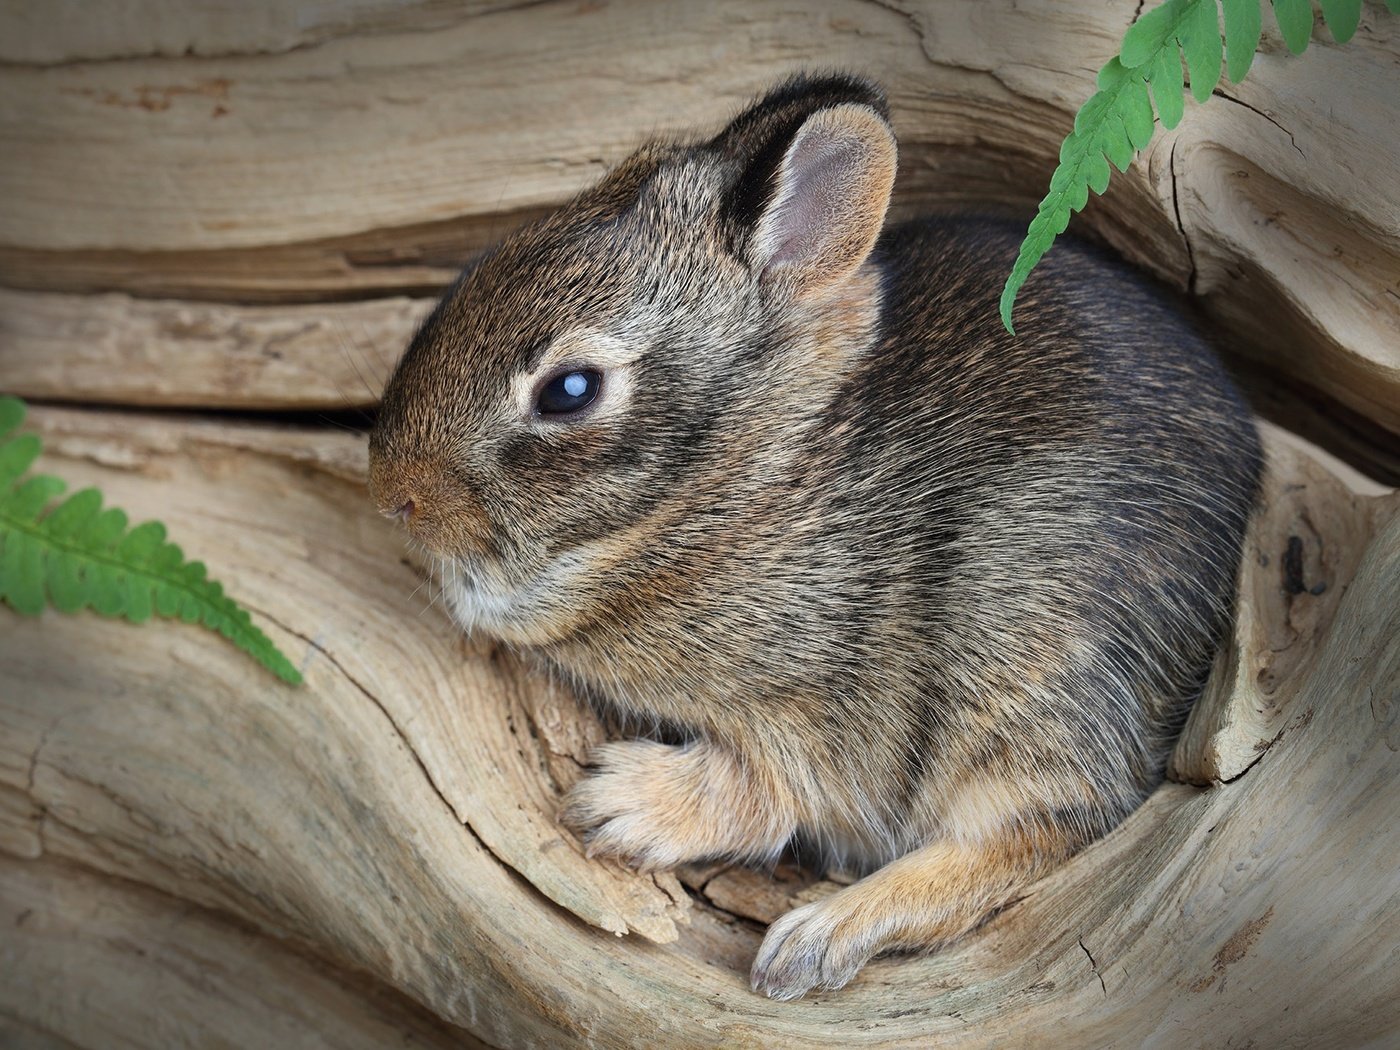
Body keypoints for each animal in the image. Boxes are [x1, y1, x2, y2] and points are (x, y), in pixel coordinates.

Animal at [366, 74, 1265, 1002]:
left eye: (570, 390)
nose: (394, 493)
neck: (752, 476)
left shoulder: (823, 717)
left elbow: (765, 792)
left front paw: (620, 803)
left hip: (1023, 669)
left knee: (1049, 826)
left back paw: (816, 936)